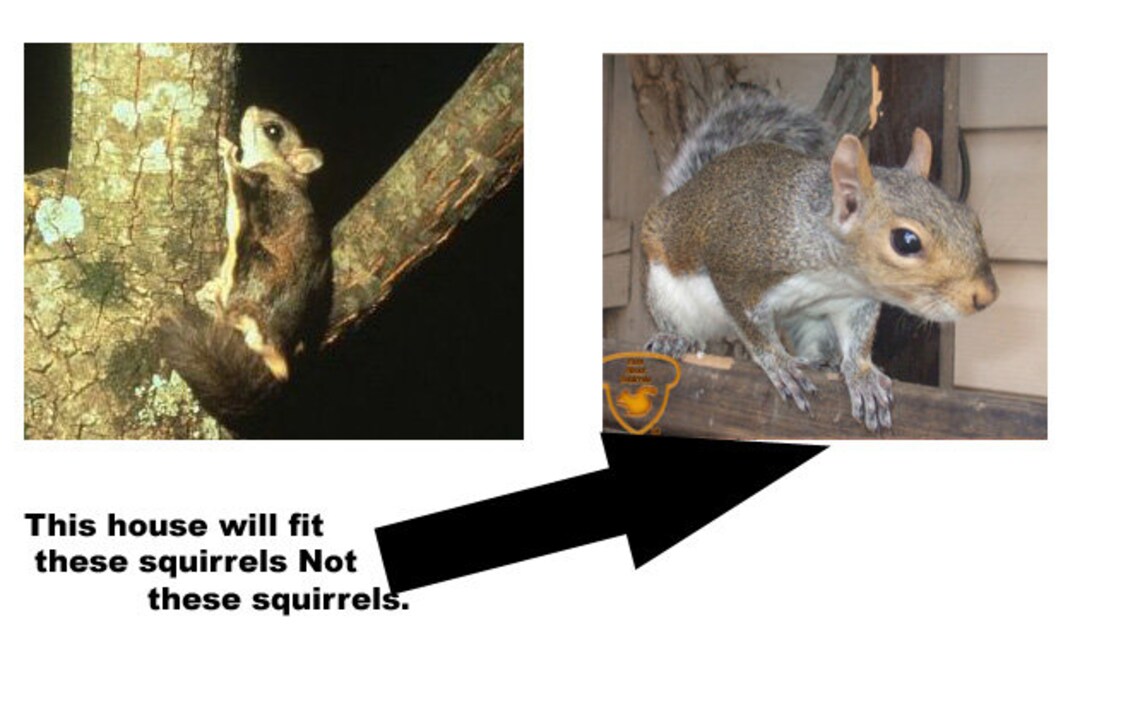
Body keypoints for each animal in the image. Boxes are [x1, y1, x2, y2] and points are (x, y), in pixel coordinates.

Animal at [160, 105, 330, 436]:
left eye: (273, 130)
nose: (252, 108)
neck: (281, 170)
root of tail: (278, 352)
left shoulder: (255, 183)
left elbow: (236, 172)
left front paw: (228, 151)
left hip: (252, 264)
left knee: (230, 315)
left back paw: (214, 299)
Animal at [641, 87, 998, 432]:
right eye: (906, 241)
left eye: (971, 219)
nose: (985, 296)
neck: (832, 270)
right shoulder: (736, 269)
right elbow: (753, 328)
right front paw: (780, 363)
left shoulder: (854, 301)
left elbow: (858, 339)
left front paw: (862, 374)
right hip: (667, 290)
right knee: (676, 320)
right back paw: (672, 340)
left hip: (811, 323)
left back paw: (825, 361)